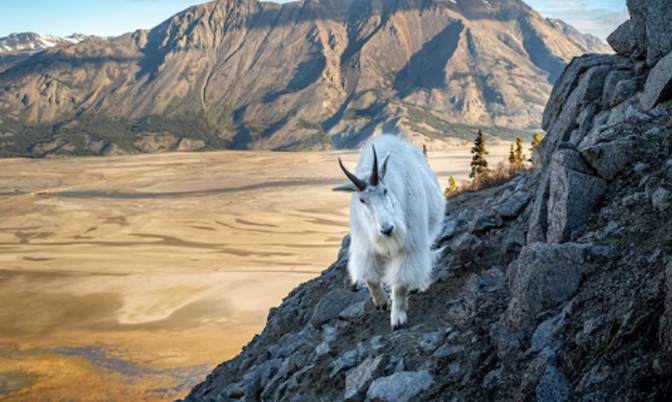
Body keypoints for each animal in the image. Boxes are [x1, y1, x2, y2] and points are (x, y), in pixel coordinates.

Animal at [332, 135, 446, 330]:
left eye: (384, 190)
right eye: (362, 200)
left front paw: (398, 319)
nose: (387, 230)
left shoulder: (409, 246)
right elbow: (370, 278)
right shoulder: (365, 247)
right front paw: (381, 302)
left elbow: (400, 283)